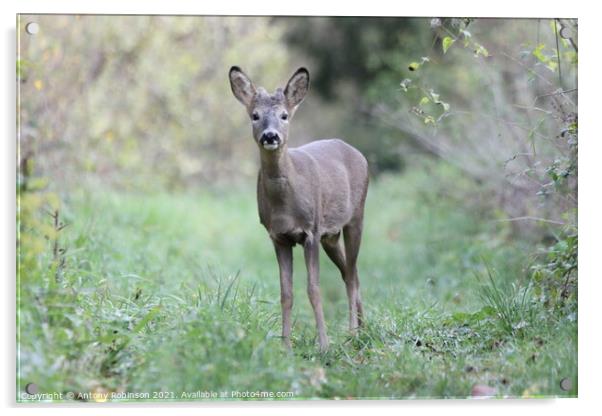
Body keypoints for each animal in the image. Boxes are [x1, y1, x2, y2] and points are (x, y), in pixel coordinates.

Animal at [227, 66, 366, 352]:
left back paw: (353, 333)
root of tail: (358, 153)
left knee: (352, 274)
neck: (285, 205)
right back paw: (363, 328)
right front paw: (286, 347)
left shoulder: (310, 231)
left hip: (356, 218)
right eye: (255, 115)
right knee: (351, 272)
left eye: (284, 115)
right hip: (330, 236)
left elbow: (313, 289)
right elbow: (286, 293)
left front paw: (323, 345)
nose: (270, 136)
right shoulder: (278, 236)